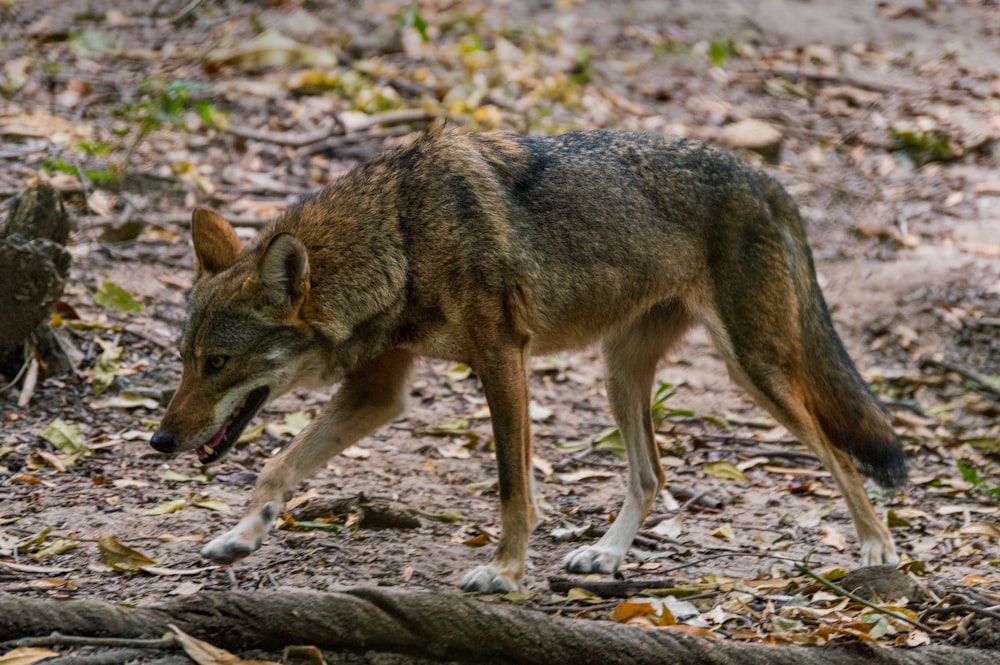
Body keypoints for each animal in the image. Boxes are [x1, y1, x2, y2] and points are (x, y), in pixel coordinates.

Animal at [150, 130, 908, 592]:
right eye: (184, 360)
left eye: (218, 363)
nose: (159, 440)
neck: (402, 236)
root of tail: (758, 172)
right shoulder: (378, 392)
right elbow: (278, 467)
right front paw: (239, 537)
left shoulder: (501, 359)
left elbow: (515, 489)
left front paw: (505, 572)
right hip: (620, 373)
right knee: (651, 474)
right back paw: (605, 556)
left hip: (755, 373)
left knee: (838, 452)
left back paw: (877, 548)